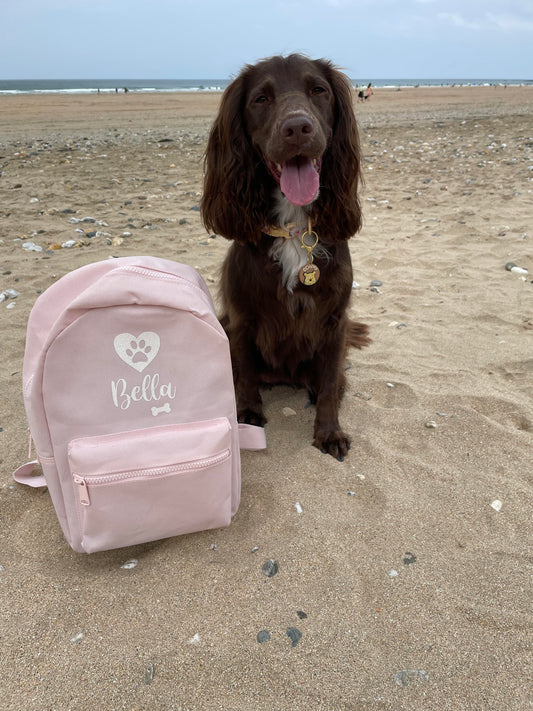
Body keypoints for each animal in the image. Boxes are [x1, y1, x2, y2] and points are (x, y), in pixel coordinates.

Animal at [201, 52, 370, 458]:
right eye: (260, 99)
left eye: (319, 90)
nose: (297, 128)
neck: (294, 231)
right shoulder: (242, 321)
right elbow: (246, 377)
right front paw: (248, 416)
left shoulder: (334, 323)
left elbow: (329, 386)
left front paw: (329, 432)